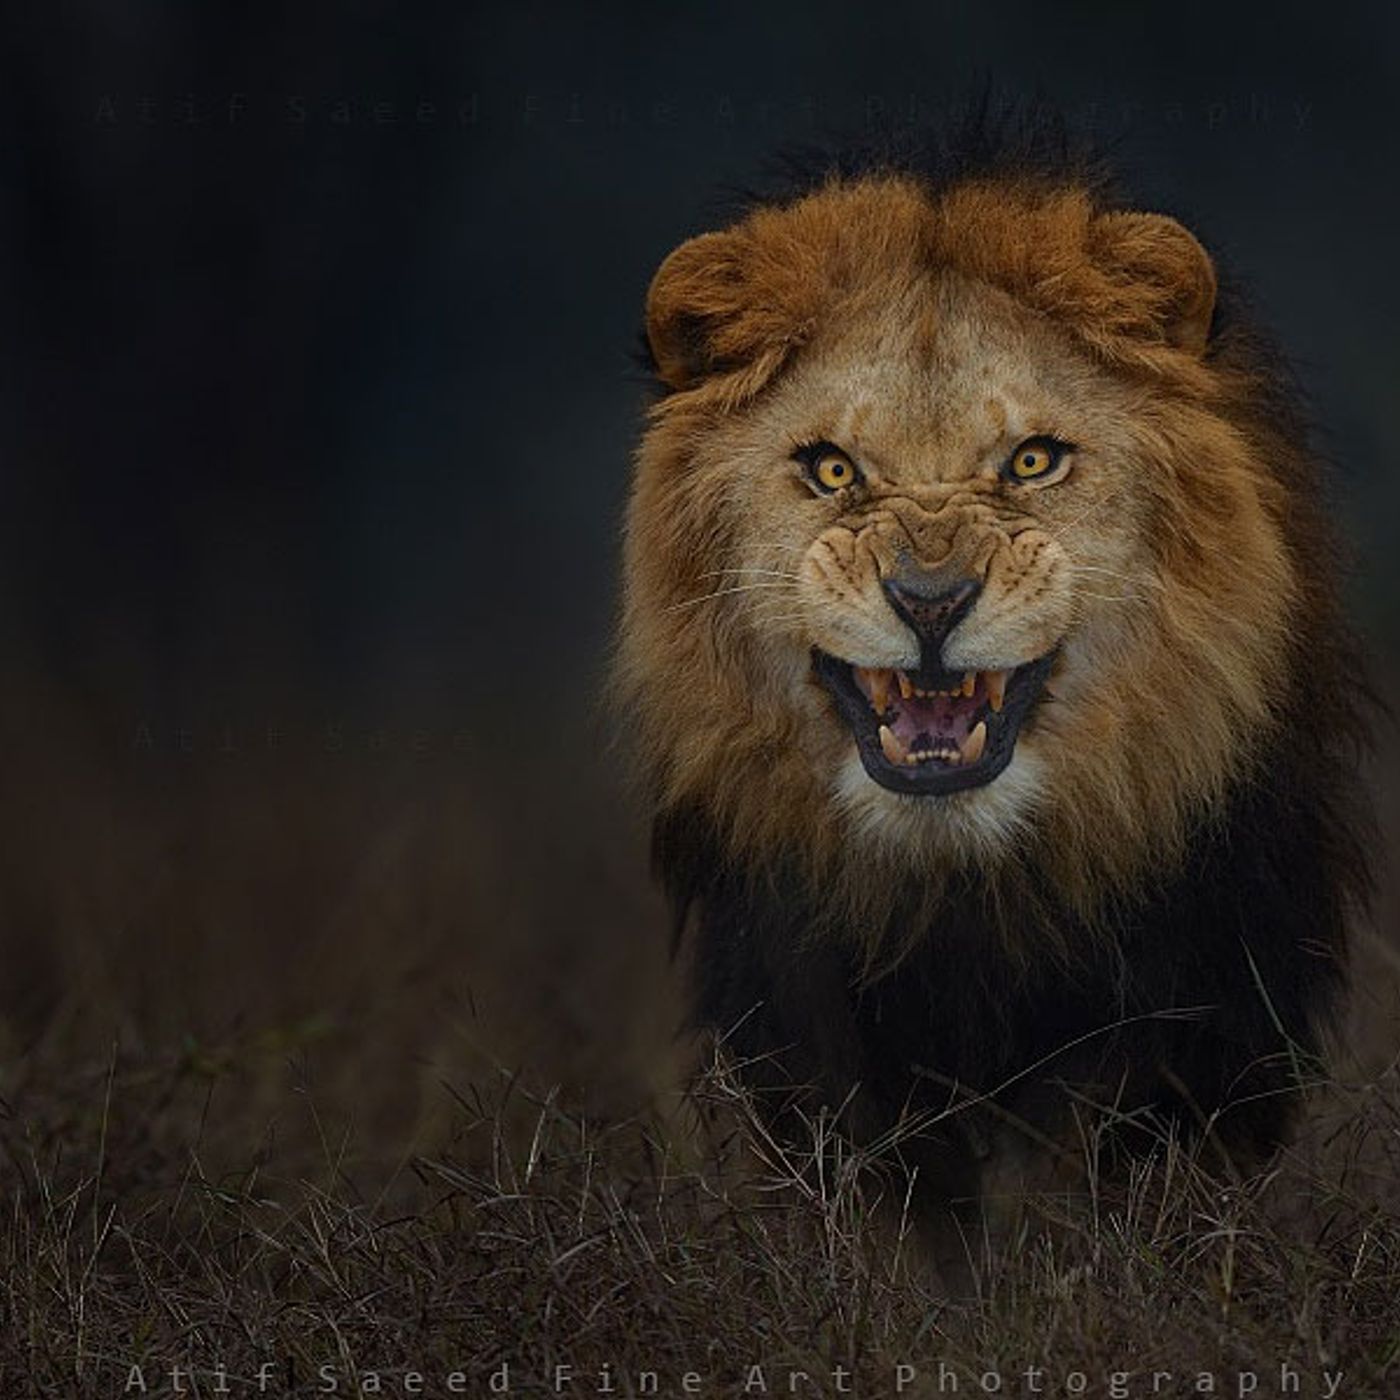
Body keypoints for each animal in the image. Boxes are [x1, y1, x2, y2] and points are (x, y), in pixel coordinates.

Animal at [613, 127, 1372, 1259]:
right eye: (832, 469)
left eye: (1031, 459)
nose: (929, 601)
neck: (964, 881)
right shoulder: (802, 1011)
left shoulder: (1205, 1002)